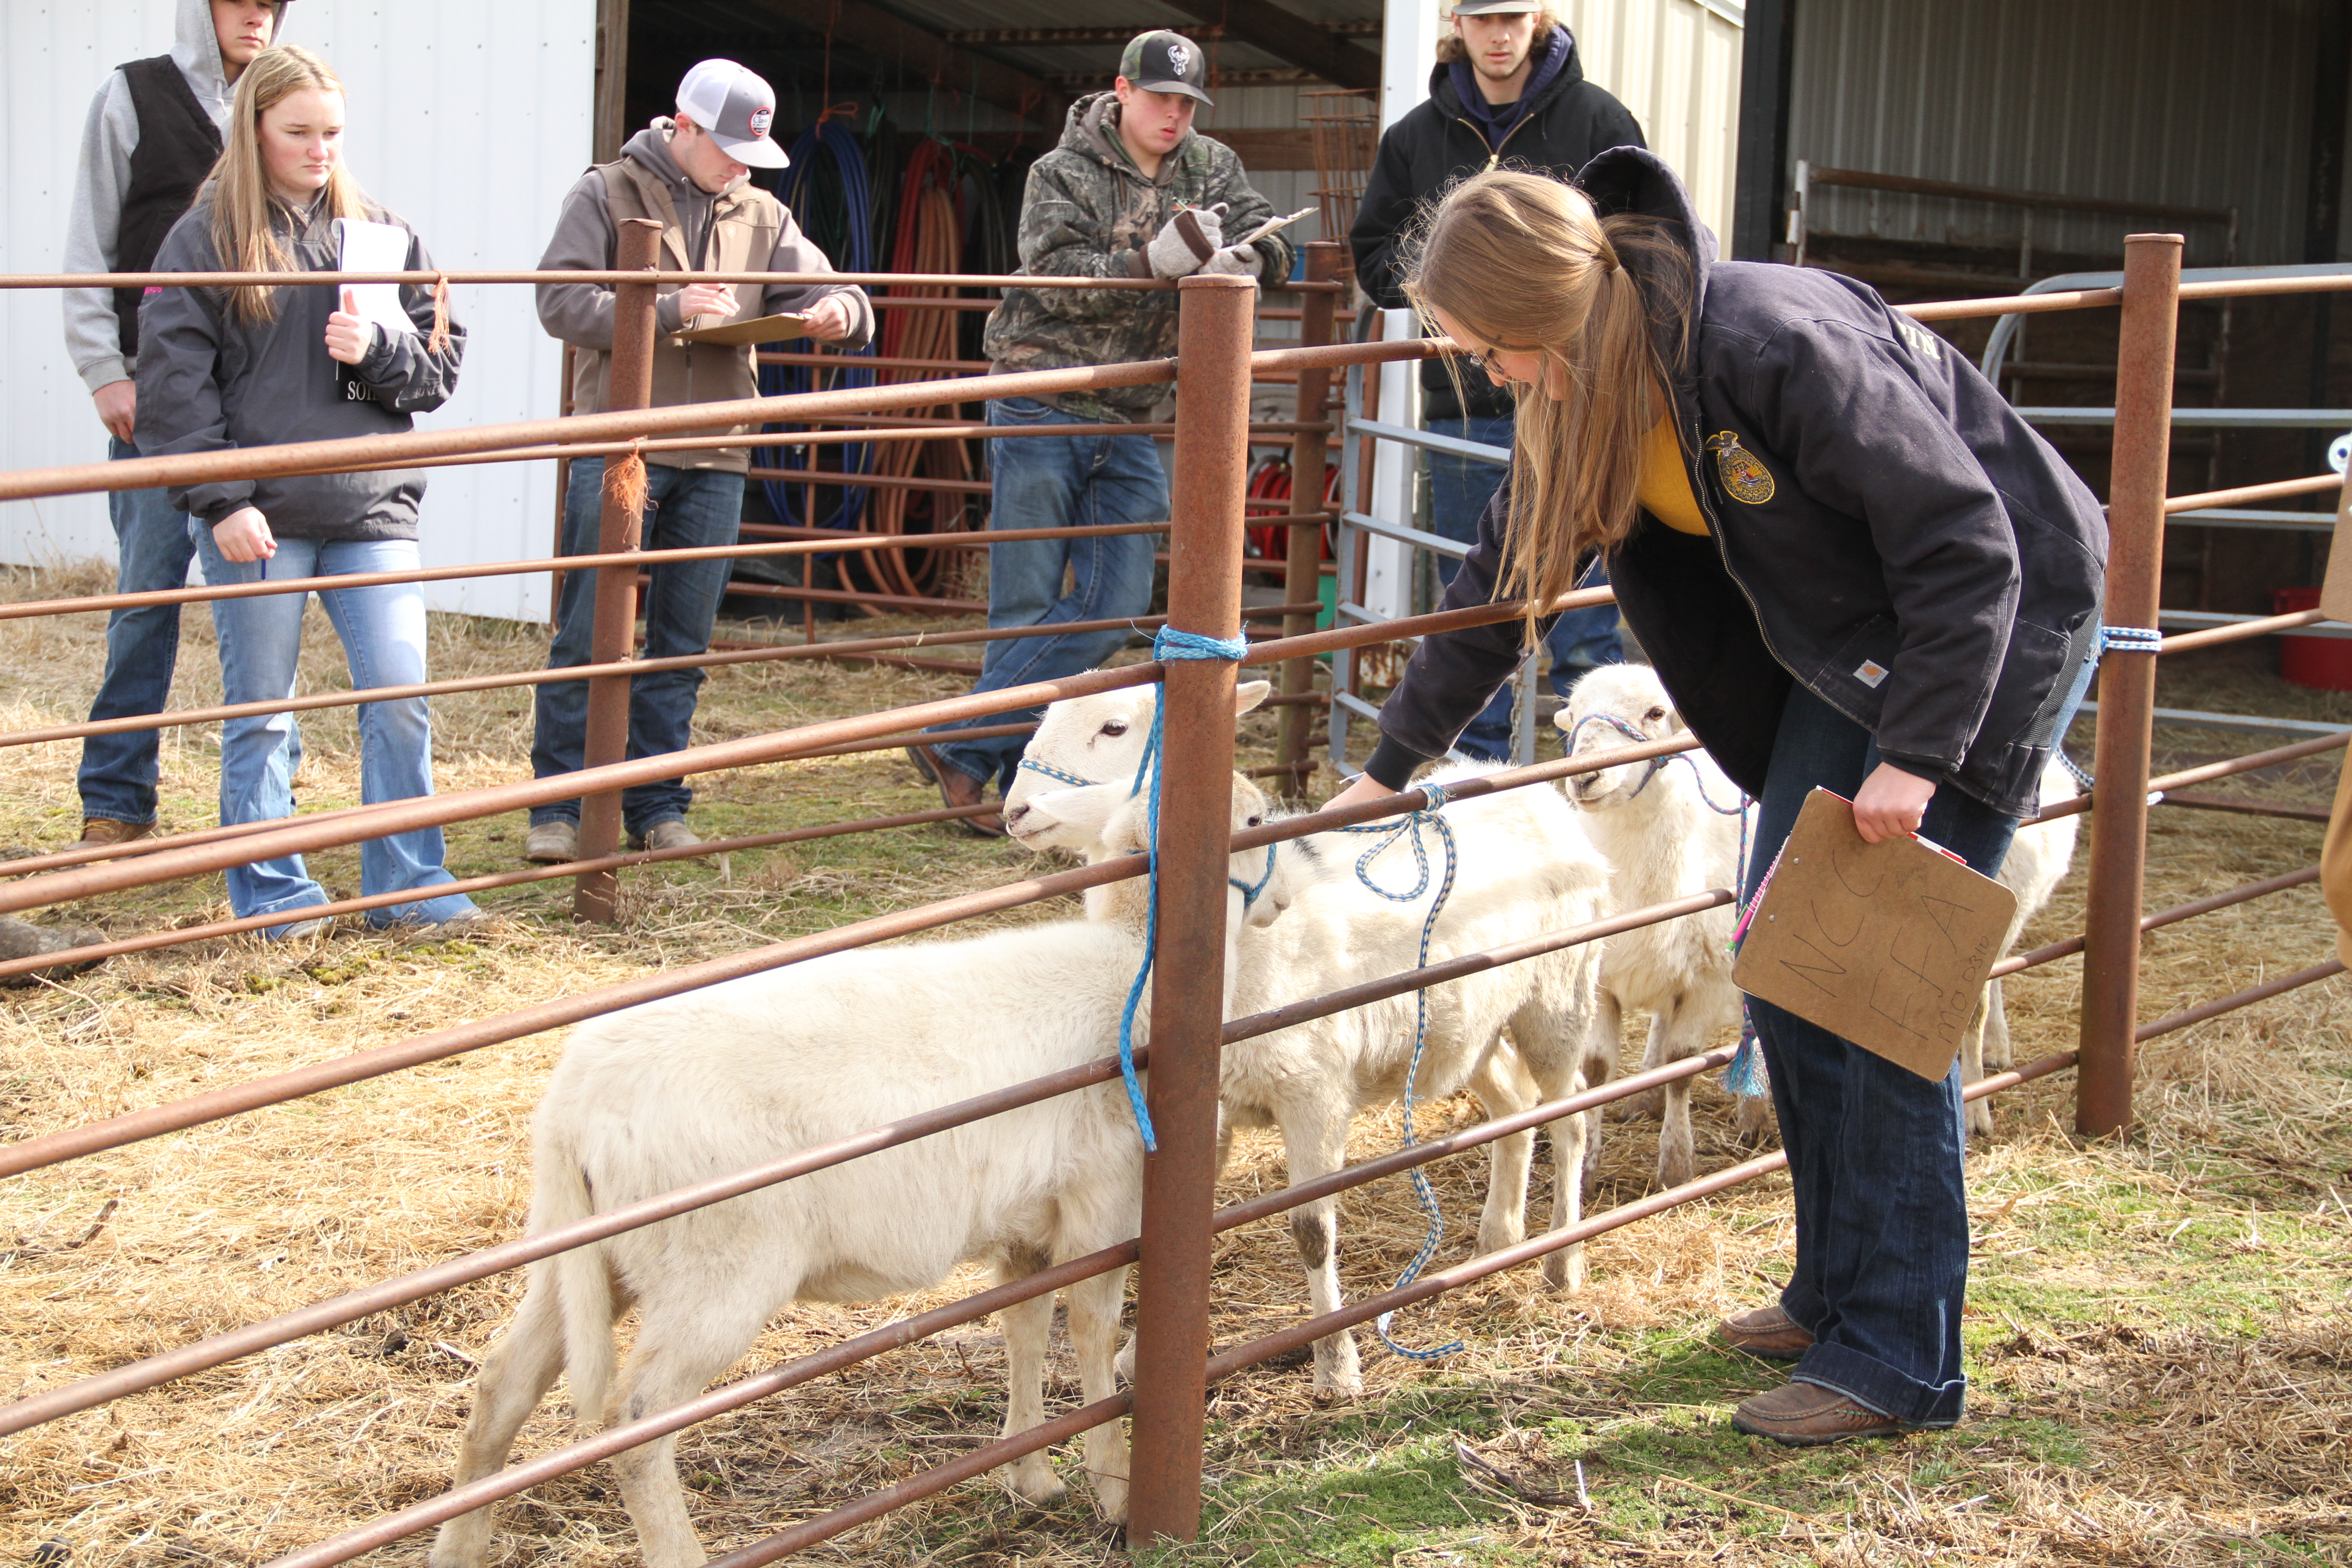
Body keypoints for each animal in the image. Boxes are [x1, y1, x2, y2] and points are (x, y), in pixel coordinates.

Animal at [432, 780, 1298, 1561]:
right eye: (1255, 821)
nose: (1285, 902)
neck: (1129, 964)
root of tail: (573, 1104)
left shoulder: (1024, 1216)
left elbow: (1022, 1325)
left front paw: (1031, 1475)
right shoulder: (1103, 1195)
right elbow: (1091, 1329)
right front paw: (1114, 1488)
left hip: (587, 1256)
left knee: (502, 1385)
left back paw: (457, 1548)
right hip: (716, 1266)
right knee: (637, 1421)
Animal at [1011, 761, 1618, 1382]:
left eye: (1257, 821)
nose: (1020, 813)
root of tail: (1528, 788)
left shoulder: (1314, 1093)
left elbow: (1312, 1232)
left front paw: (1336, 1360)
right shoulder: (1214, 1108)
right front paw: (1141, 1355)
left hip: (1559, 993)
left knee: (1570, 1116)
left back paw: (1564, 1261)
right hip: (1465, 1026)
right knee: (1514, 1106)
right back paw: (1499, 1239)